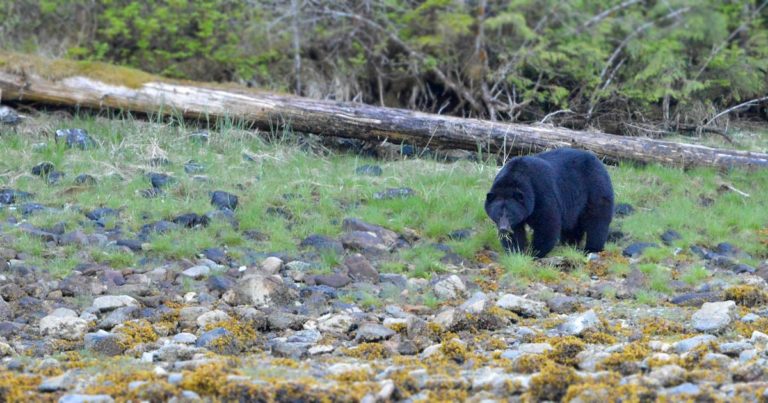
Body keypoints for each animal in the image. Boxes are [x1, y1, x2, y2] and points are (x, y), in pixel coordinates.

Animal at [485, 148, 614, 258]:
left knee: (597, 220)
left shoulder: (541, 191)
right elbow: (515, 232)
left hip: (595, 188)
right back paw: (569, 244)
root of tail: (599, 162)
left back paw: (592, 248)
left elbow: (547, 224)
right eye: (498, 214)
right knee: (572, 226)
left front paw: (535, 252)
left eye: (510, 215)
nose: (503, 229)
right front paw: (516, 251)